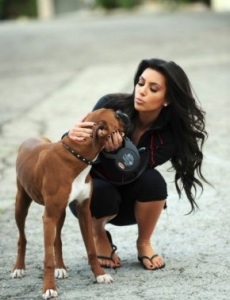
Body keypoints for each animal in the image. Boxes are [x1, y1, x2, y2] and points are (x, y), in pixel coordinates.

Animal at [11, 109, 126, 298]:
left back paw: (61, 268)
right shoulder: (49, 217)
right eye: (115, 115)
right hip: (21, 205)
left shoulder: (83, 211)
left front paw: (99, 275)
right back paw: (19, 268)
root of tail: (32, 137)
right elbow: (47, 259)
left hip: (60, 214)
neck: (77, 156)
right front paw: (49, 287)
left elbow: (91, 248)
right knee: (22, 238)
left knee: (57, 240)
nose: (124, 113)